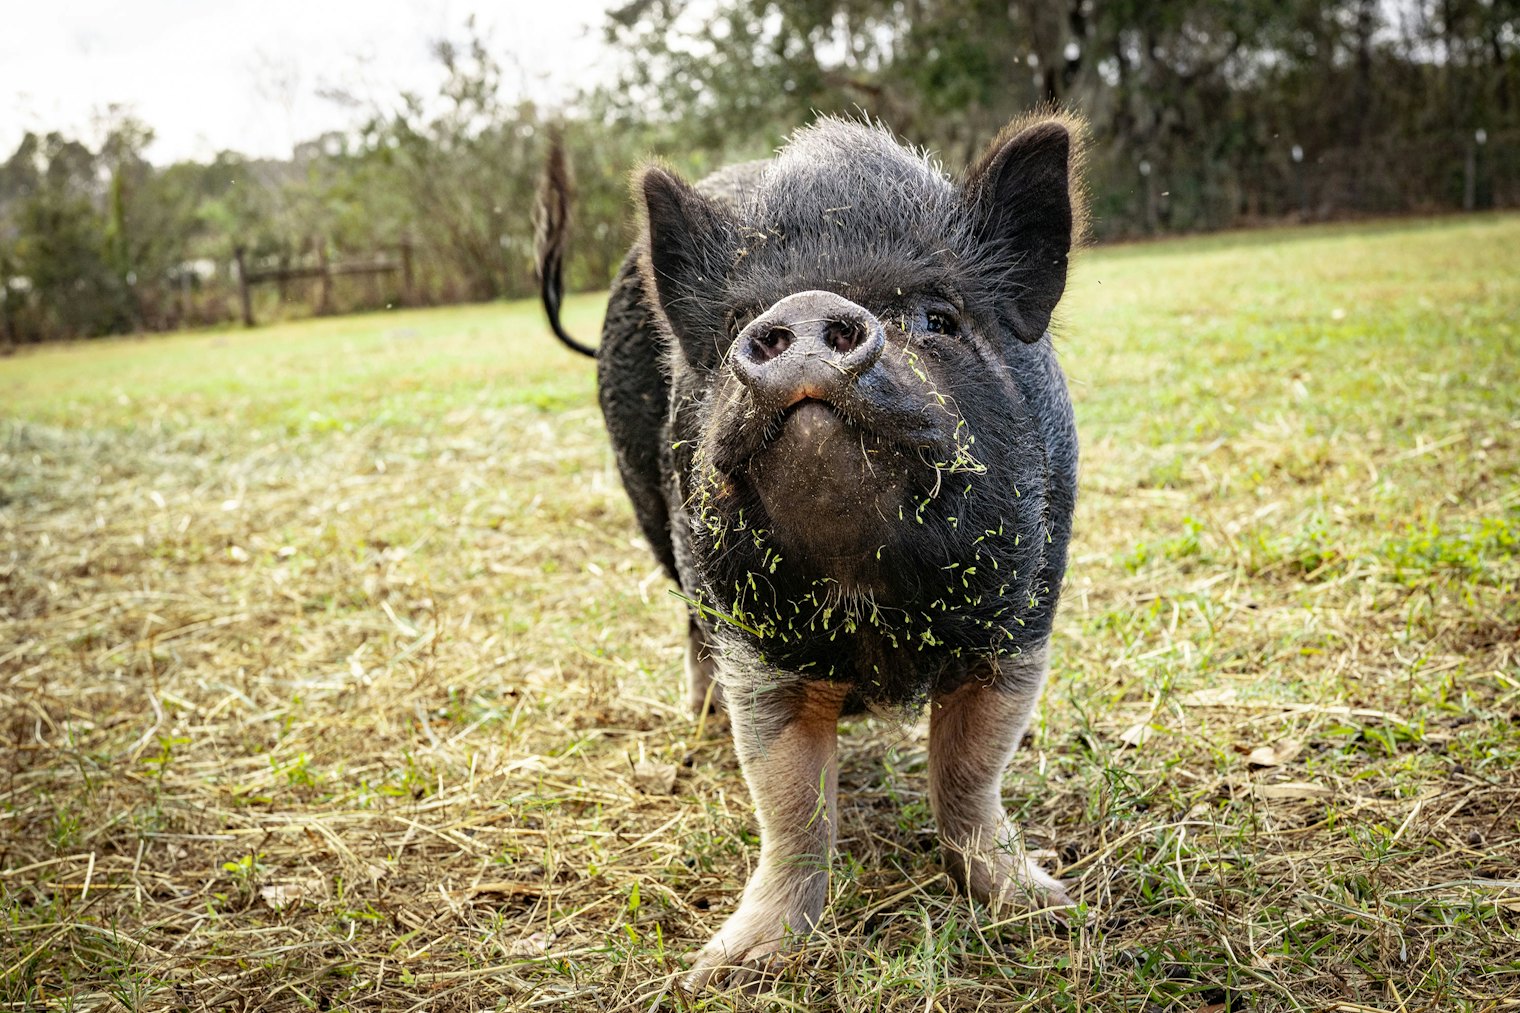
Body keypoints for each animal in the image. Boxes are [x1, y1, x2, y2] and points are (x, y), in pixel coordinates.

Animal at [536, 113, 1085, 990]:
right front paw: (724, 967)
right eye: (737, 323)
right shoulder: (758, 652)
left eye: (940, 318)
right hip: (651, 512)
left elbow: (971, 773)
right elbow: (790, 802)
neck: (864, 592)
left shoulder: (1020, 625)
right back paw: (698, 718)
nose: (806, 306)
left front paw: (1046, 907)